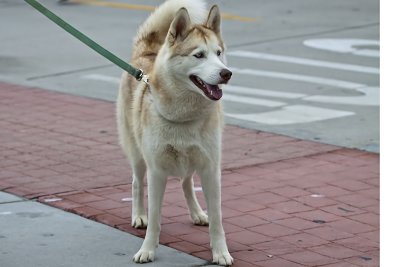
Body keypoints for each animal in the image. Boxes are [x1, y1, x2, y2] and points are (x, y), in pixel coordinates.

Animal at [115, 0, 233, 266]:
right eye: (199, 55)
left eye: (218, 53)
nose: (226, 73)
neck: (184, 117)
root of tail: (145, 52)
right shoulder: (157, 171)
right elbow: (155, 218)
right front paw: (147, 249)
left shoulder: (211, 169)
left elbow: (218, 219)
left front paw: (220, 252)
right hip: (138, 154)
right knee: (137, 183)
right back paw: (138, 215)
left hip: (191, 161)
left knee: (186, 182)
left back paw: (198, 213)